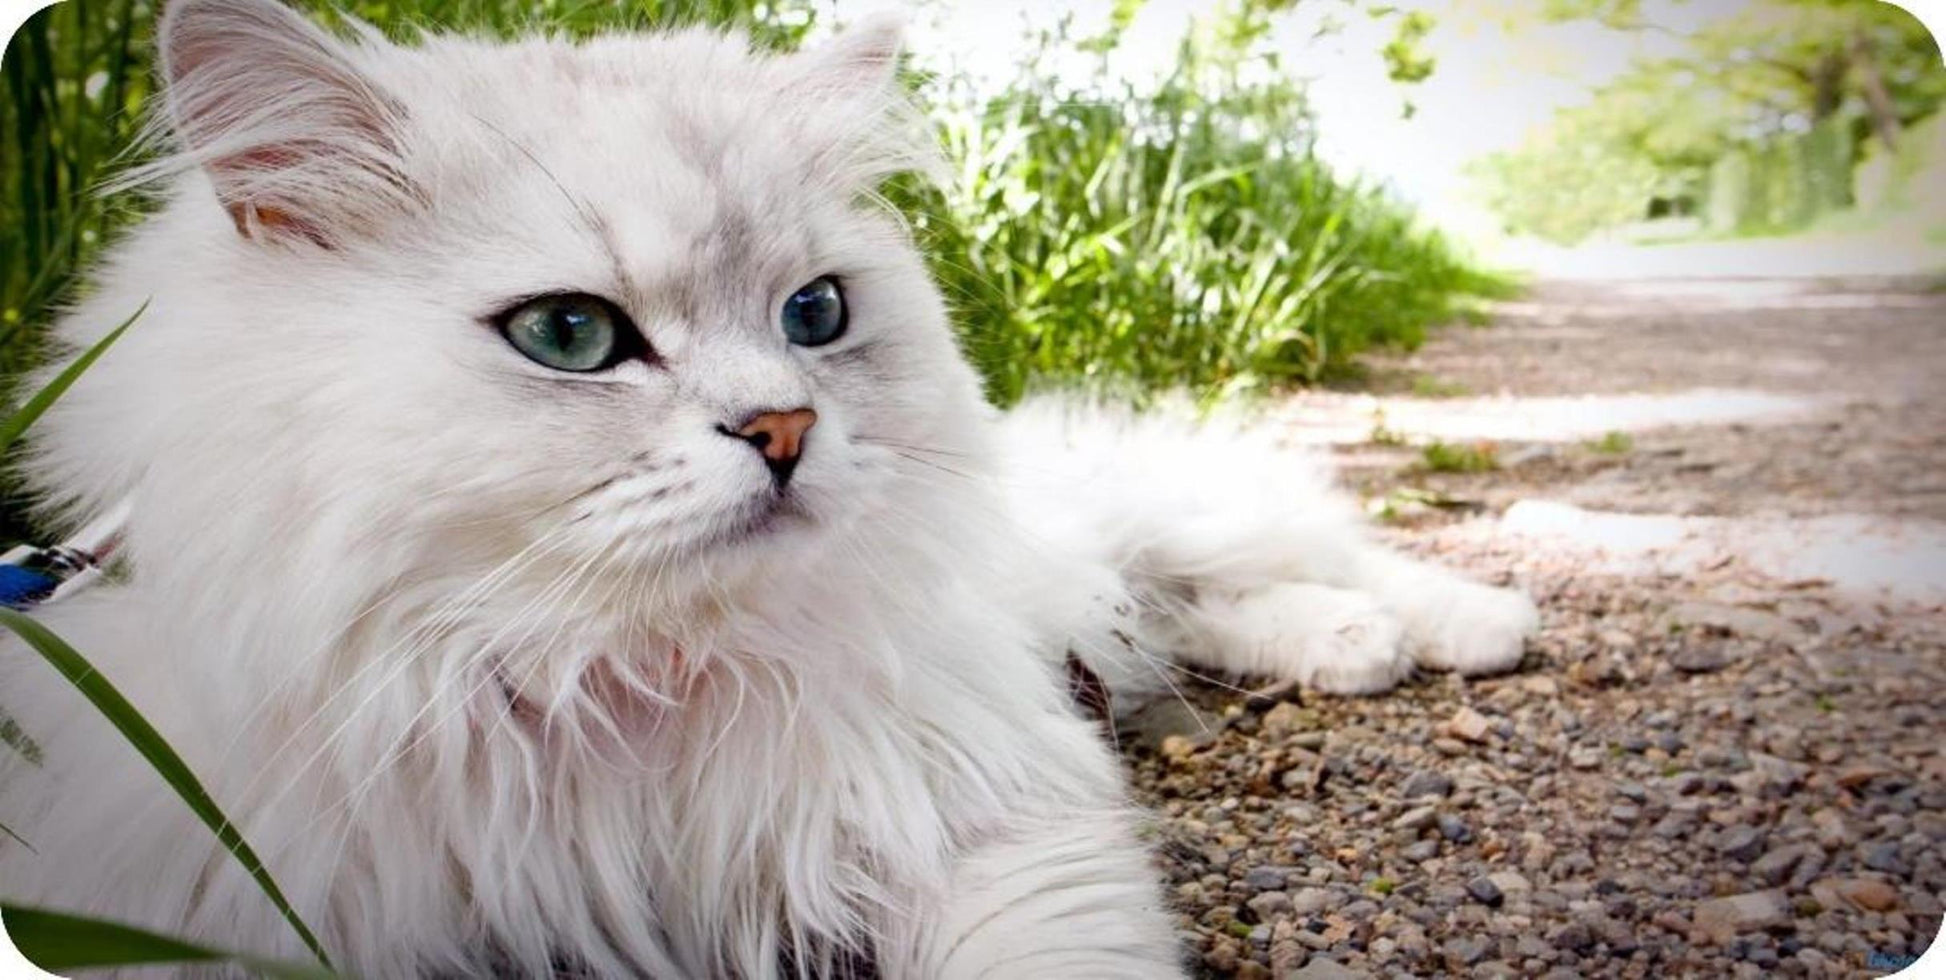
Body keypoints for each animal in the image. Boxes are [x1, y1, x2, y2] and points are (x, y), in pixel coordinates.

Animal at [3, 3, 1533, 976]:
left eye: (814, 314)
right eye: (570, 334)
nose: (787, 428)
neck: (611, 687)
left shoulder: (992, 820)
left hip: (1143, 523)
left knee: (1322, 554)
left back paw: (1474, 625)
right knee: (1219, 609)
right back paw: (1357, 650)